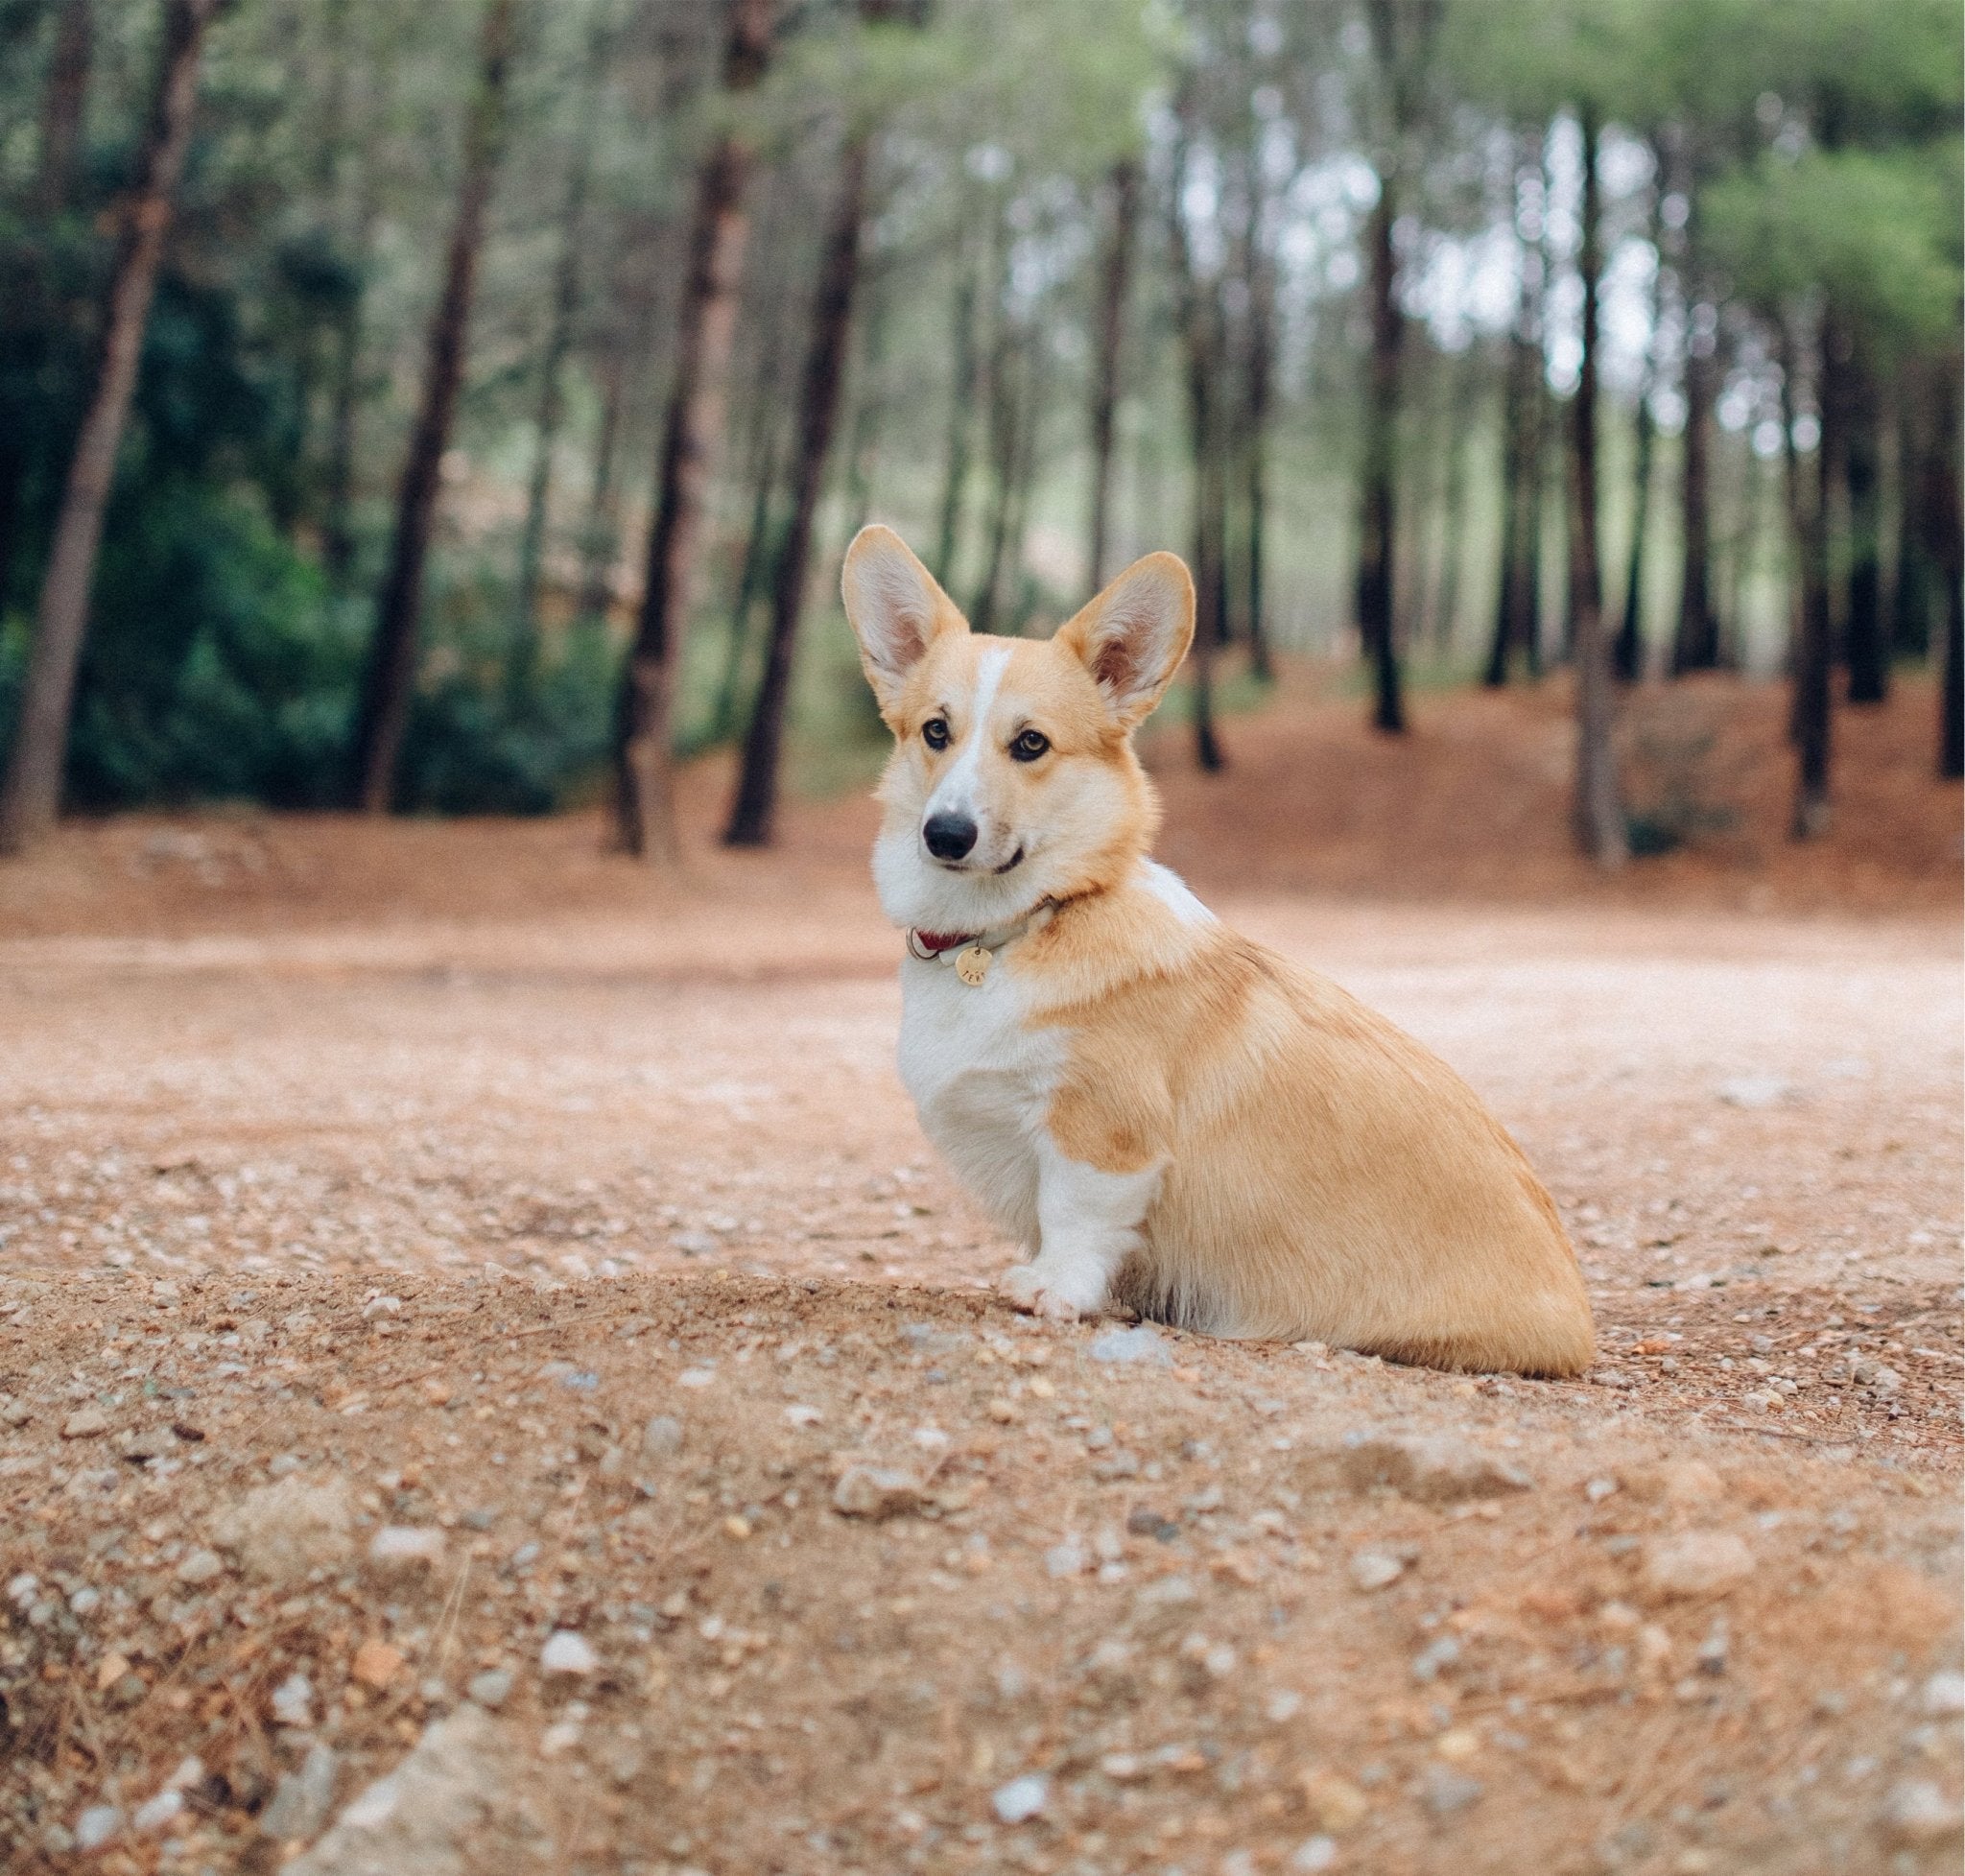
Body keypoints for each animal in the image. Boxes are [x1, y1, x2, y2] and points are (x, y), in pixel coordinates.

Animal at [844, 526, 1595, 1383]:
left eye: (1030, 744)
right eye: (935, 732)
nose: (945, 834)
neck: (1021, 927)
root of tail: (1579, 1327)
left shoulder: (1102, 1131)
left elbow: (1074, 1214)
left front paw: (1054, 1289)